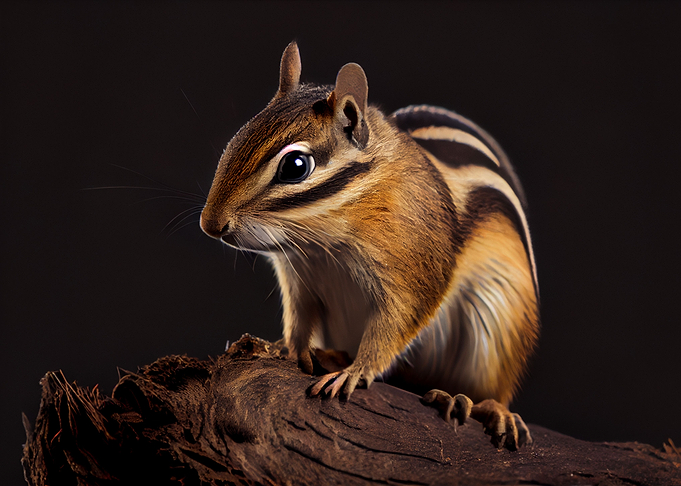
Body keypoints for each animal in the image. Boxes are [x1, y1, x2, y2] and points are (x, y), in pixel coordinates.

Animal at [200, 42, 540, 450]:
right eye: (237, 138)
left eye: (295, 166)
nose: (210, 225)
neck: (322, 245)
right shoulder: (301, 279)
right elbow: (299, 316)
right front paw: (287, 347)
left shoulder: (414, 269)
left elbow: (394, 325)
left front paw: (356, 370)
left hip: (498, 329)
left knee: (489, 389)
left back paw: (472, 402)